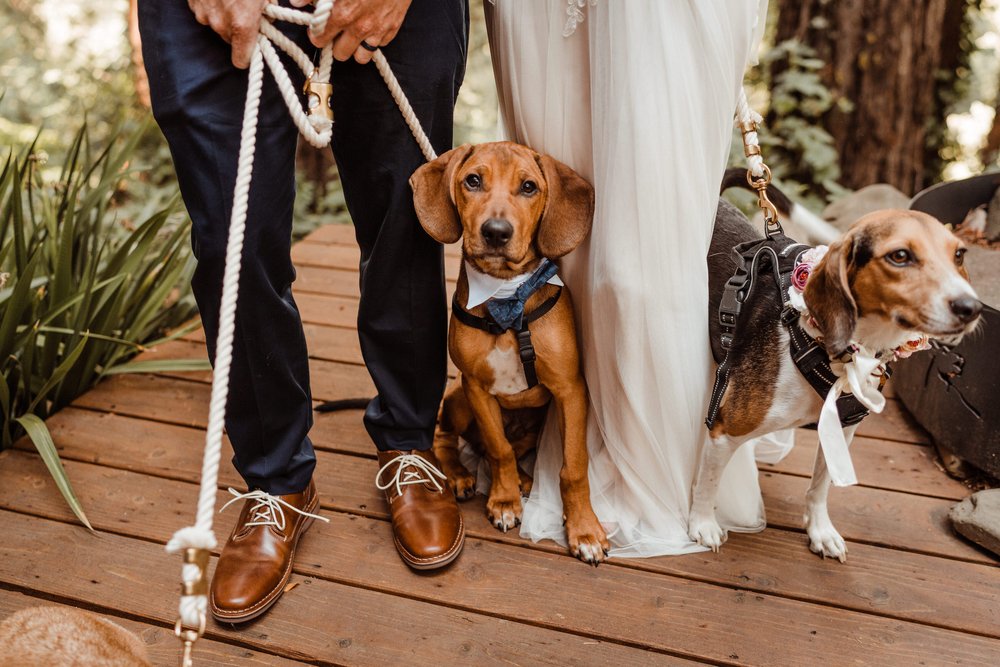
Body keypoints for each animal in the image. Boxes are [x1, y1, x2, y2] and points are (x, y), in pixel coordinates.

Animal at [408, 141, 608, 564]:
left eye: (529, 187)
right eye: (472, 181)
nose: (496, 233)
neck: (506, 300)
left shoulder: (570, 390)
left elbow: (573, 466)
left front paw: (584, 529)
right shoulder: (476, 388)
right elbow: (498, 449)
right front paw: (503, 501)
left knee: (510, 448)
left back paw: (525, 478)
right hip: (458, 397)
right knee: (453, 439)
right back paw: (463, 475)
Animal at [692, 205, 980, 564]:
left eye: (959, 254)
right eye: (900, 256)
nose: (972, 308)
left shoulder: (842, 426)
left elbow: (820, 486)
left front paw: (820, 531)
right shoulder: (724, 427)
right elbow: (708, 482)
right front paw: (703, 524)